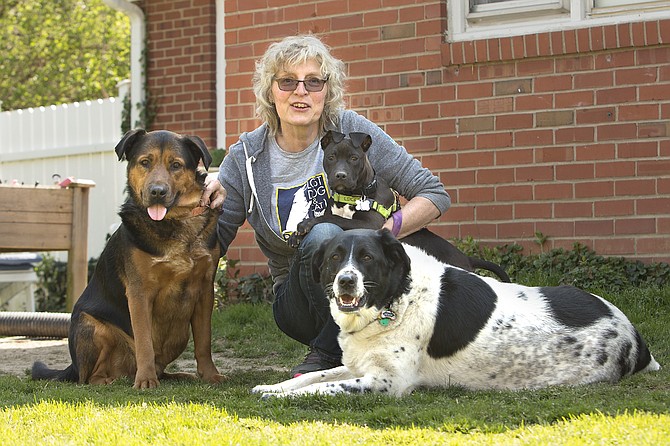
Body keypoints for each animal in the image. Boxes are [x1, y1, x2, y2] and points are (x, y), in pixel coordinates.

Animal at [32, 128, 226, 386]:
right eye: (145, 162)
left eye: (175, 165)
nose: (157, 192)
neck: (173, 220)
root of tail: (73, 366)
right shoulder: (139, 293)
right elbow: (145, 343)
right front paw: (145, 381)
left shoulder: (205, 290)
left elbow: (204, 342)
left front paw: (210, 375)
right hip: (92, 326)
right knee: (89, 377)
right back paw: (110, 380)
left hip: (180, 335)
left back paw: (175, 375)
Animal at [256, 230, 660, 398]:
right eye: (335, 258)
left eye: (367, 258)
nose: (346, 281)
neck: (395, 301)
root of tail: (637, 339)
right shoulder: (358, 365)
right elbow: (314, 376)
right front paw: (273, 388)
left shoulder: (387, 382)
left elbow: (321, 387)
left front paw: (279, 398)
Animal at [290, 130, 516, 282]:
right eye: (331, 157)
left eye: (354, 158)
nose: (340, 176)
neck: (351, 196)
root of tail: (466, 258)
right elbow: (332, 215)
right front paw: (295, 236)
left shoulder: (370, 224)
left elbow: (332, 217)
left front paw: (306, 224)